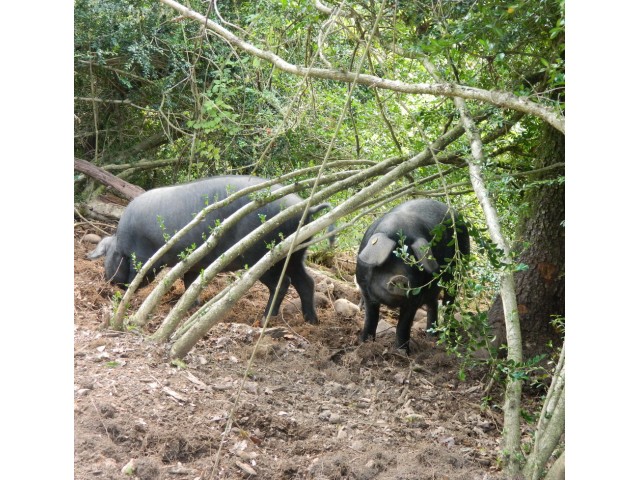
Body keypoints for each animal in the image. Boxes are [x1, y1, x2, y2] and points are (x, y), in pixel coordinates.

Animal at [87, 174, 332, 324]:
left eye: (108, 257)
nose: (107, 281)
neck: (123, 242)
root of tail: (306, 208)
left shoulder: (145, 259)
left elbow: (141, 277)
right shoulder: (193, 261)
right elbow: (189, 281)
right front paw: (190, 305)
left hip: (262, 254)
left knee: (282, 284)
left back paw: (264, 320)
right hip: (296, 253)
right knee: (306, 282)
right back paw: (312, 321)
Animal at [356, 199, 470, 352]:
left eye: (414, 263)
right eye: (389, 259)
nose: (401, 278)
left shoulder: (415, 298)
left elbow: (403, 325)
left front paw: (402, 352)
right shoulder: (364, 287)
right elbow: (371, 319)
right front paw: (364, 344)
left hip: (459, 269)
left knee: (449, 302)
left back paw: (447, 337)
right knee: (433, 302)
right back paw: (431, 336)